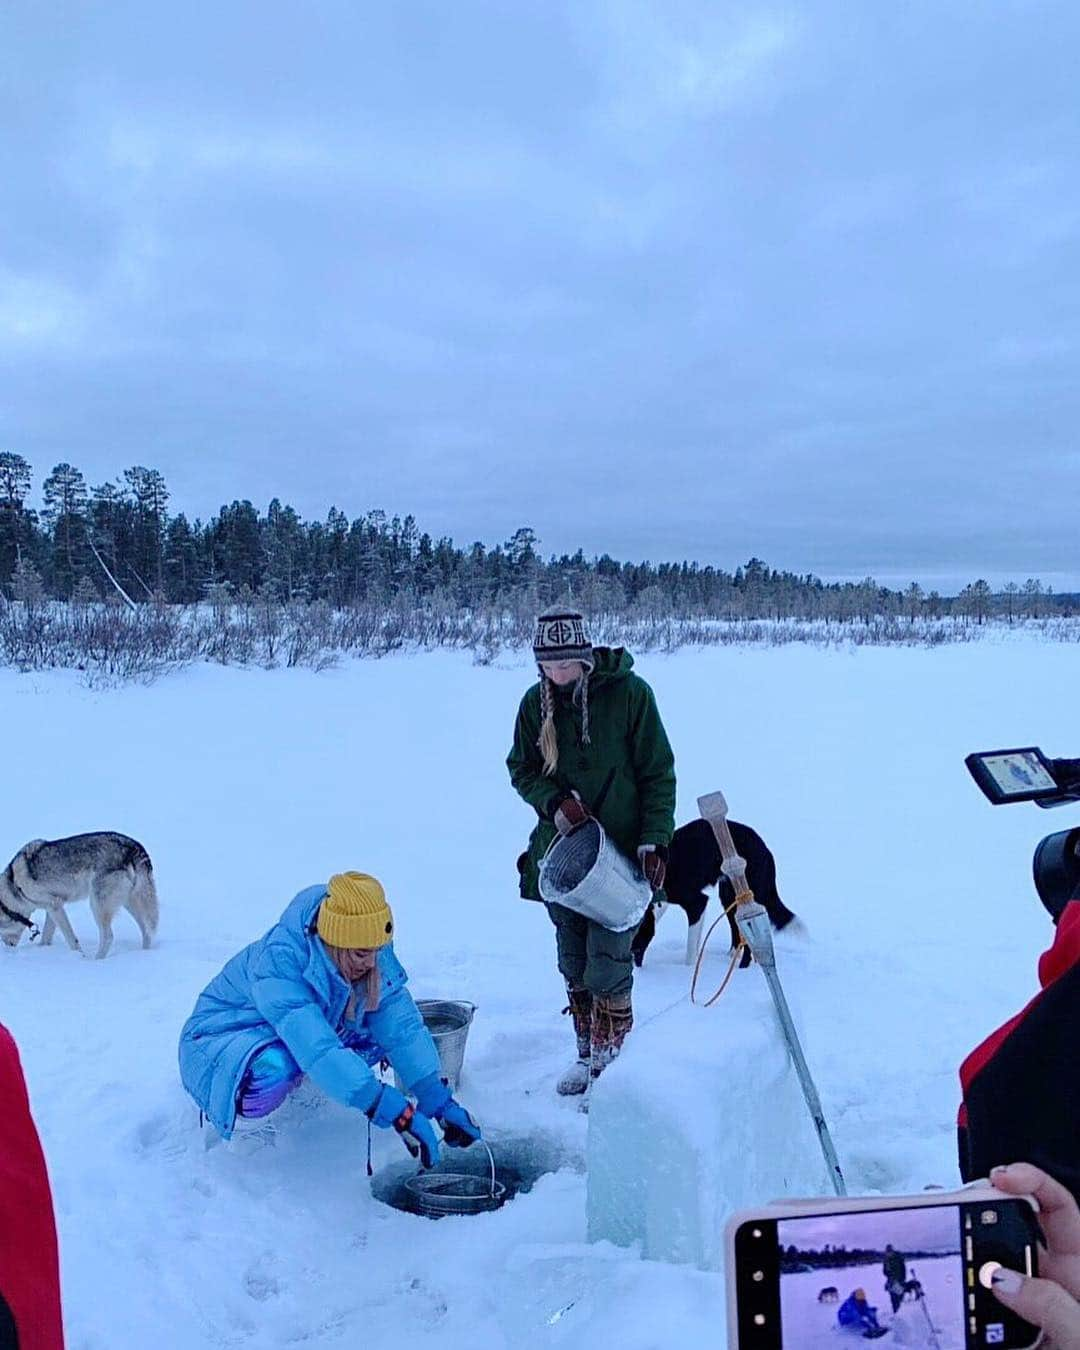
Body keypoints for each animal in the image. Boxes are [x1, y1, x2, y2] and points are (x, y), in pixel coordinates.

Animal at [0, 831, 159, 961]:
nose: (8, 947)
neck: (13, 884)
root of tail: (133, 847)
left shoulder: (54, 905)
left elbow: (71, 939)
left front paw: (79, 956)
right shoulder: (53, 907)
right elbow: (46, 936)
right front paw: (41, 950)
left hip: (97, 905)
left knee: (108, 936)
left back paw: (95, 961)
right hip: (131, 903)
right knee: (147, 931)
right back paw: (144, 954)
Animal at [631, 815, 793, 966]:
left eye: (635, 946)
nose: (637, 969)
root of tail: (766, 850)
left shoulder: (697, 903)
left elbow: (691, 949)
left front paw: (688, 969)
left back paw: (742, 966)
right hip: (729, 896)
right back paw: (731, 957)